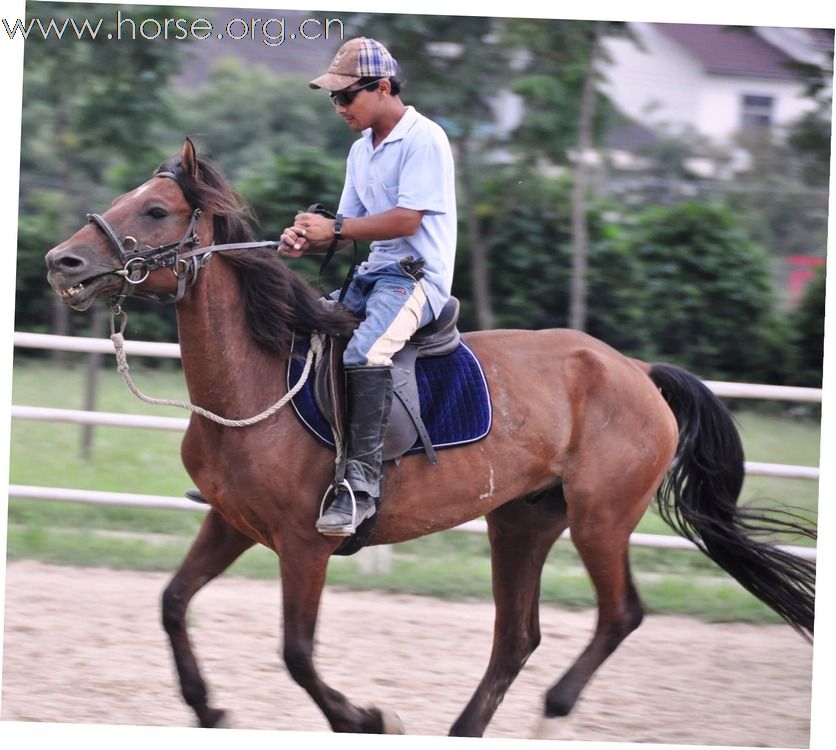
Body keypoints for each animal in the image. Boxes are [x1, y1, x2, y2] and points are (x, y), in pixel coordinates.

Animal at [42, 140, 812, 736]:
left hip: (601, 519)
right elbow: (173, 602)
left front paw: (365, 718)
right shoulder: (232, 523)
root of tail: (636, 371)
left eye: (155, 210)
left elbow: (296, 652)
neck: (255, 381)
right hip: (523, 521)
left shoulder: (304, 545)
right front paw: (207, 710)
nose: (61, 263)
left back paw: (554, 710)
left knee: (619, 614)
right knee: (516, 637)